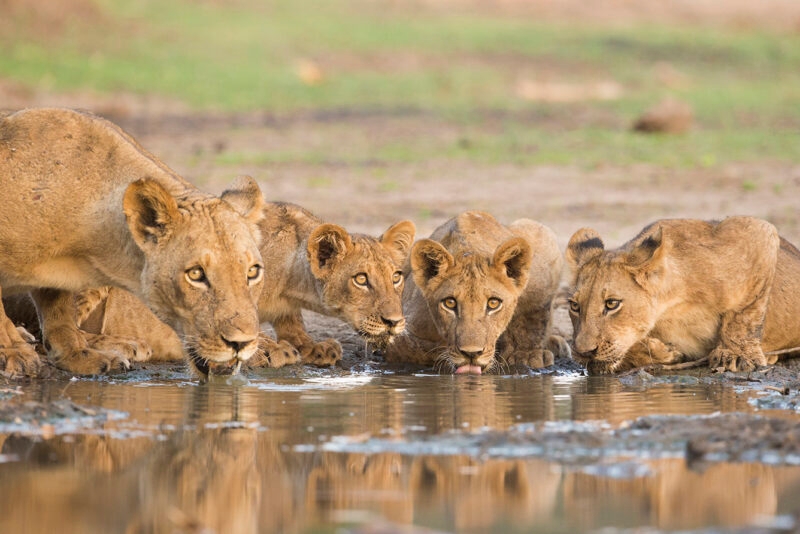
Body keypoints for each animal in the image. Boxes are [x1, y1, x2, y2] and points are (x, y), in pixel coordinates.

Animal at [0, 108, 266, 379]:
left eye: (252, 272)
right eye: (195, 274)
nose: (241, 343)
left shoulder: (57, 281)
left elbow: (59, 311)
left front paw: (77, 355)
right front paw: (14, 353)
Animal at [385, 211, 568, 374]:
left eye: (493, 303)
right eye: (450, 303)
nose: (471, 354)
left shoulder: (544, 254)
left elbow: (534, 318)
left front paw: (526, 355)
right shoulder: (402, 335)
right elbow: (420, 349)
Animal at [565, 217, 800, 374]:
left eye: (612, 303)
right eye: (574, 306)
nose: (583, 352)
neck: (669, 307)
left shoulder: (756, 231)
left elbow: (744, 314)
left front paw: (736, 355)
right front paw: (662, 352)